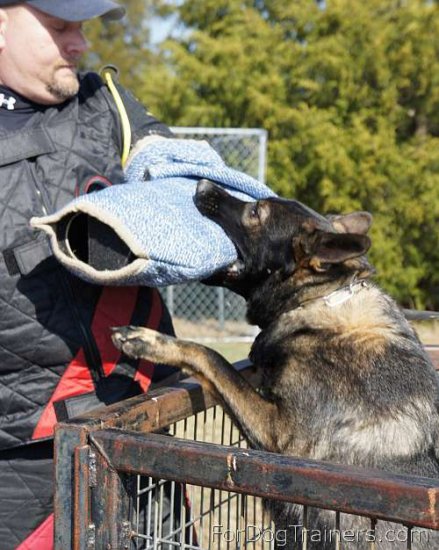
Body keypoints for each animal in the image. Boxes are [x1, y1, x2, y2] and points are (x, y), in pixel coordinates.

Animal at [111, 180, 439, 548]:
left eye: (256, 212)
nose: (201, 183)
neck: (319, 298)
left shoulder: (277, 435)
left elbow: (211, 357)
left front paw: (150, 341)